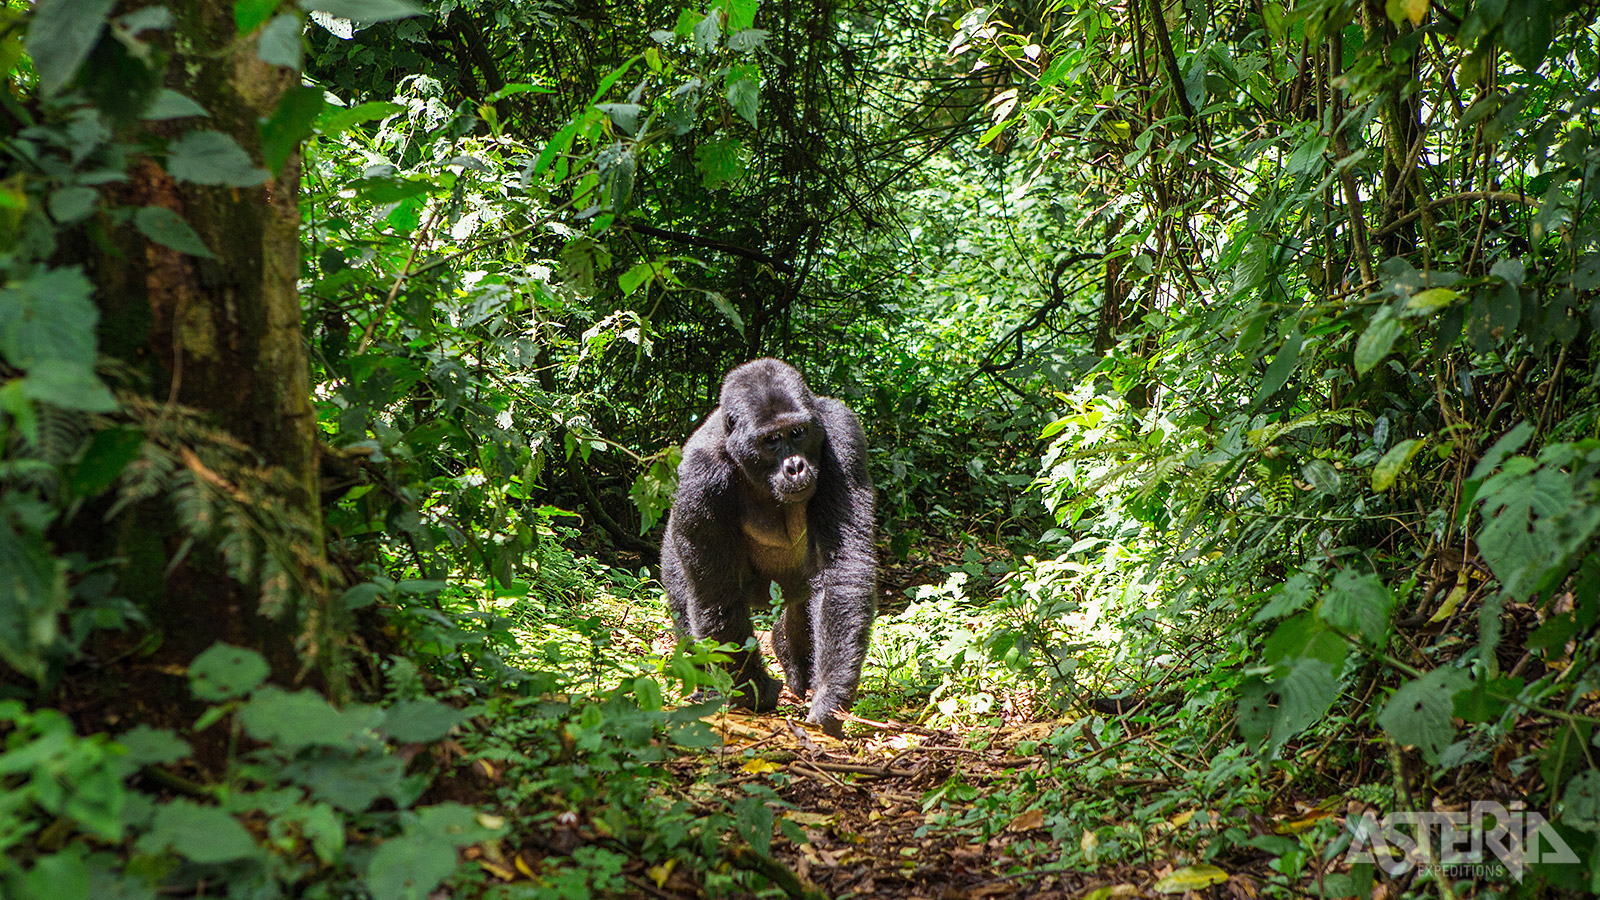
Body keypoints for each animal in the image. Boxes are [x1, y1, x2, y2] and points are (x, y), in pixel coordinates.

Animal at [665, 353, 883, 733]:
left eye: (797, 433)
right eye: (770, 441)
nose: (795, 467)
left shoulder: (843, 434)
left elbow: (842, 565)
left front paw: (830, 695)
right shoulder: (699, 474)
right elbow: (716, 593)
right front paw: (755, 691)